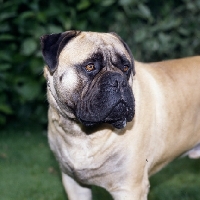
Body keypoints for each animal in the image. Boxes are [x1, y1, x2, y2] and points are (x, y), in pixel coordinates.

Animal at [40, 30, 200, 199]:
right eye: (90, 66)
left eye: (125, 67)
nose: (119, 81)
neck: (83, 134)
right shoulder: (74, 184)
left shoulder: (129, 188)